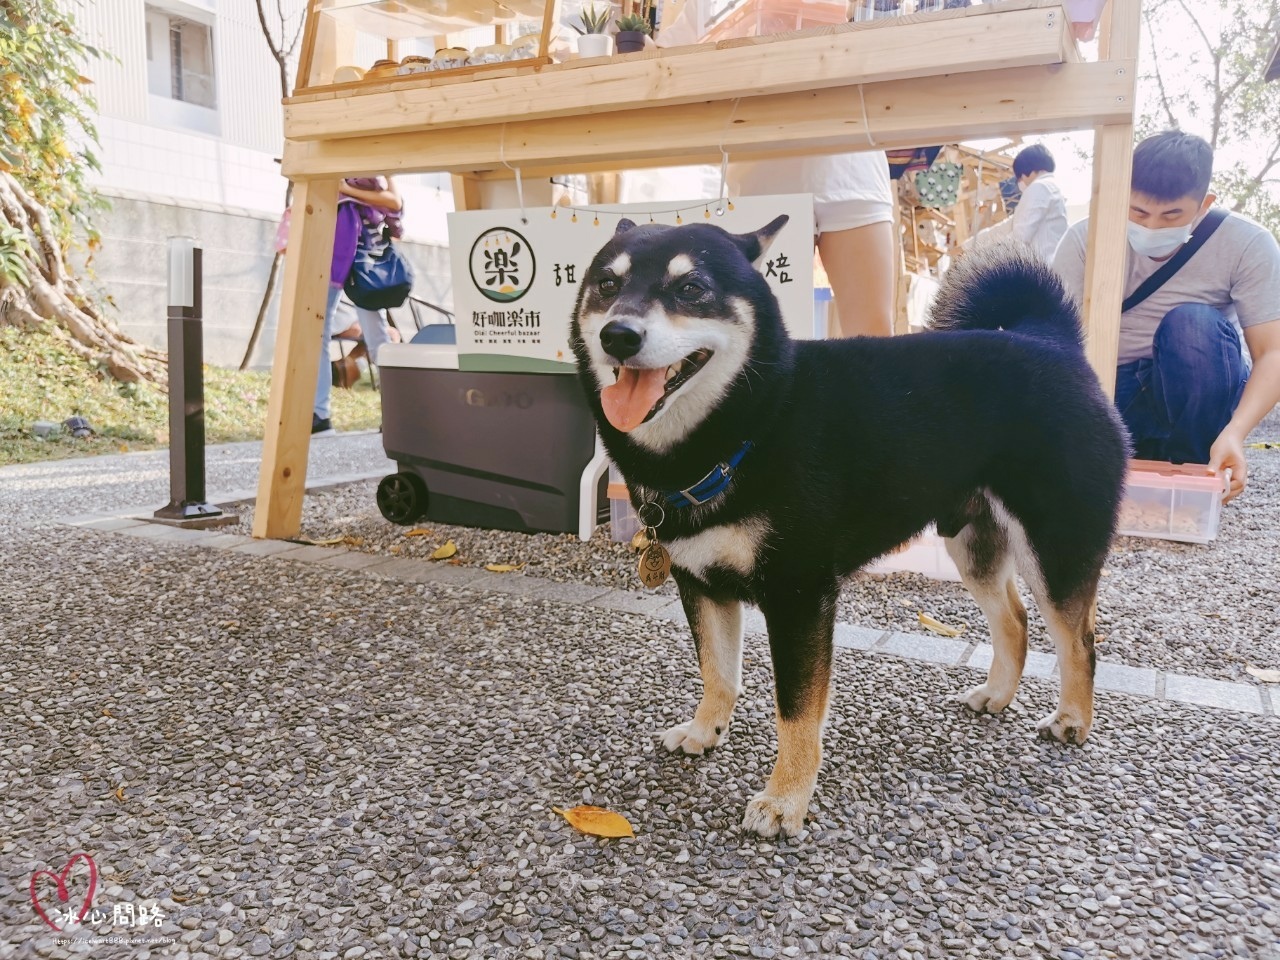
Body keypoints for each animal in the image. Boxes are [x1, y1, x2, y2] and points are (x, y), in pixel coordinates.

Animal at [570, 217, 1121, 839]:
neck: (754, 426)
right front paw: (706, 730)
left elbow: (796, 712)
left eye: (691, 289)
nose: (618, 335)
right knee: (1016, 621)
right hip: (973, 545)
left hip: (1056, 545)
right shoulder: (702, 584)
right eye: (607, 285)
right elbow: (718, 672)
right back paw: (997, 696)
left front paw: (785, 799)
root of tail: (1054, 342)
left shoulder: (800, 596)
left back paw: (1073, 720)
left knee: (1079, 641)